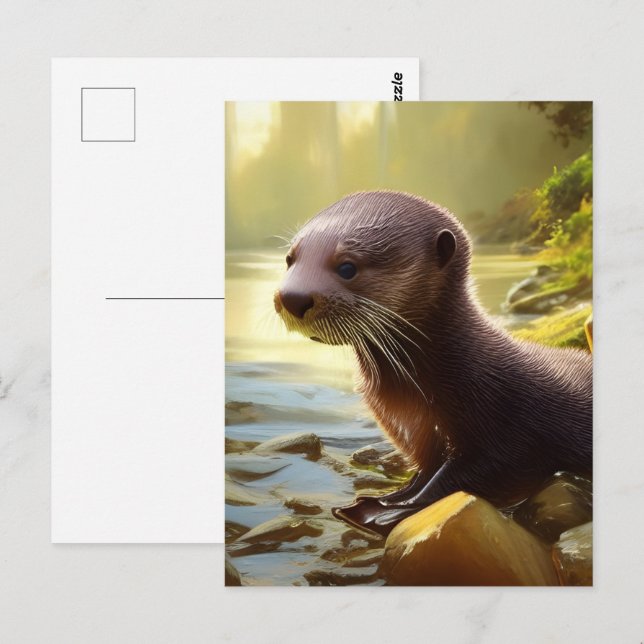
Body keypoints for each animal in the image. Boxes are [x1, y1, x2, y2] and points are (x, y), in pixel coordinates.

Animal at [273, 191, 592, 536]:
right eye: (290, 259)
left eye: (347, 267)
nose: (292, 297)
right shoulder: (421, 437)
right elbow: (423, 475)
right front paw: (389, 499)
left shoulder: (510, 429)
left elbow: (474, 477)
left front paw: (384, 513)